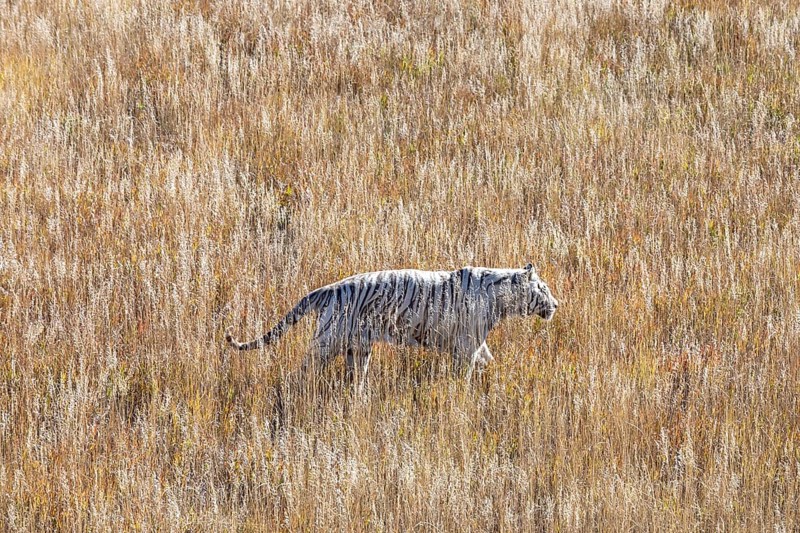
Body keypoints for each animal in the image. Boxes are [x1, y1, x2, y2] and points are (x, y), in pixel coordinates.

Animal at [225, 264, 558, 385]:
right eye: (543, 288)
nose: (556, 304)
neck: (501, 300)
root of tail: (329, 288)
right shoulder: (466, 347)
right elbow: (465, 374)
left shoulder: (475, 345)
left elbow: (489, 361)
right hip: (328, 342)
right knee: (303, 369)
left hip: (358, 350)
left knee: (355, 379)